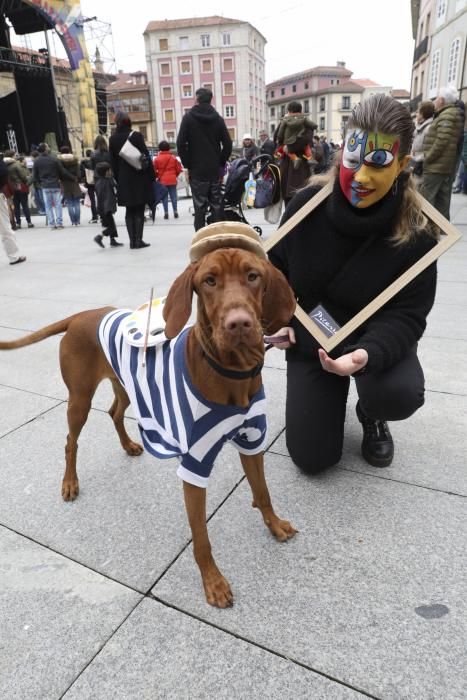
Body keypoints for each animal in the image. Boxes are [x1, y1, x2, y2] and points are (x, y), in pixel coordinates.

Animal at [0, 230, 298, 608]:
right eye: (209, 280)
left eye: (253, 275)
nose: (239, 324)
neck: (232, 372)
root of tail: (81, 315)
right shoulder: (195, 463)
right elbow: (201, 535)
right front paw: (213, 582)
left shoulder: (252, 441)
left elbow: (263, 491)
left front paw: (274, 525)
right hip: (79, 399)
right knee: (71, 441)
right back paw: (70, 483)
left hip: (127, 386)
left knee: (114, 412)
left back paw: (128, 445)